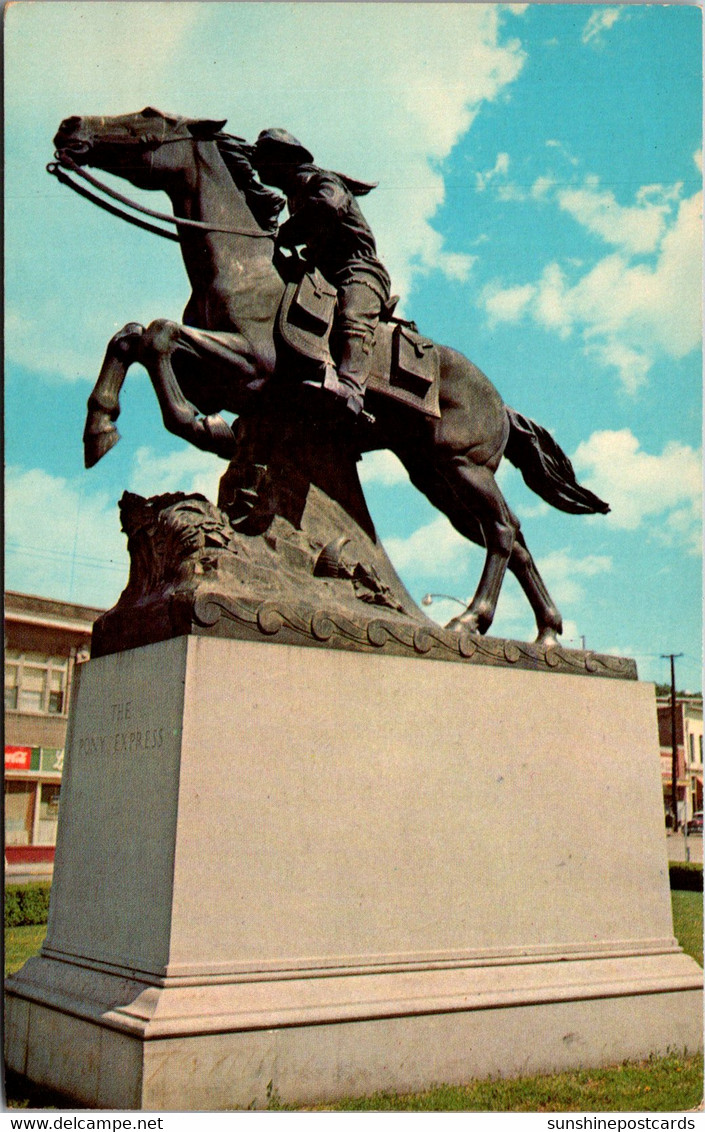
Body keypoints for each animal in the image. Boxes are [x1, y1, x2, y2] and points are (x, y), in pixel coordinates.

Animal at [52, 112, 611, 656]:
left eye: (151, 119)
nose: (70, 127)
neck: (245, 270)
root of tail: (501, 403)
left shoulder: (251, 368)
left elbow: (160, 335)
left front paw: (205, 429)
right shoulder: (217, 376)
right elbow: (132, 336)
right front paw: (99, 429)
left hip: (464, 466)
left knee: (501, 531)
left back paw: (471, 620)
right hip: (436, 478)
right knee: (516, 540)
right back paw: (545, 633)